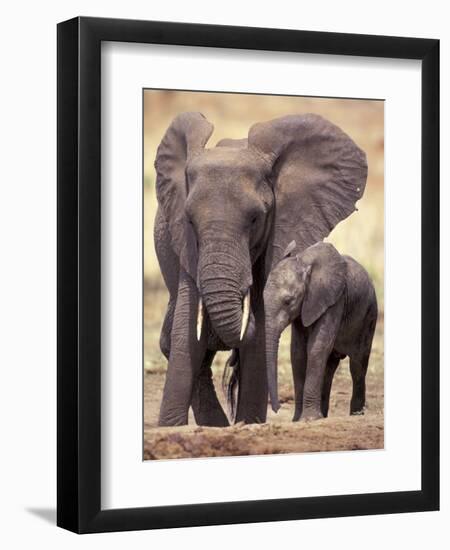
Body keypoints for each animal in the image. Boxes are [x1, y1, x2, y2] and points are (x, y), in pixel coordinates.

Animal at [264, 242, 376, 422]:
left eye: (289, 301)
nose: (277, 408)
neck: (304, 262)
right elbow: (298, 353)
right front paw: (298, 420)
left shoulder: (334, 300)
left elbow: (316, 348)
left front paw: (308, 419)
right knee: (329, 368)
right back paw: (323, 416)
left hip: (369, 317)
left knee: (358, 365)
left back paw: (356, 415)